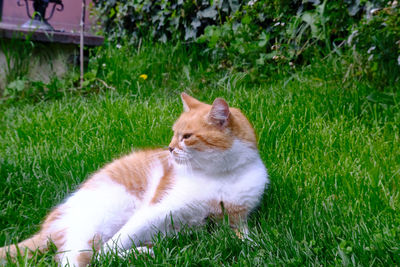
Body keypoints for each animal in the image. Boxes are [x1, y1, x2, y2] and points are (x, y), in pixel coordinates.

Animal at [0, 93, 268, 266]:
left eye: (187, 136)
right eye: (174, 134)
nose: (170, 148)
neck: (221, 175)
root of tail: (48, 227)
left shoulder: (237, 220)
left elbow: (248, 239)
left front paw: (255, 247)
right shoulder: (159, 208)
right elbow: (115, 244)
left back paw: (143, 253)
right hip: (102, 219)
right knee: (85, 257)